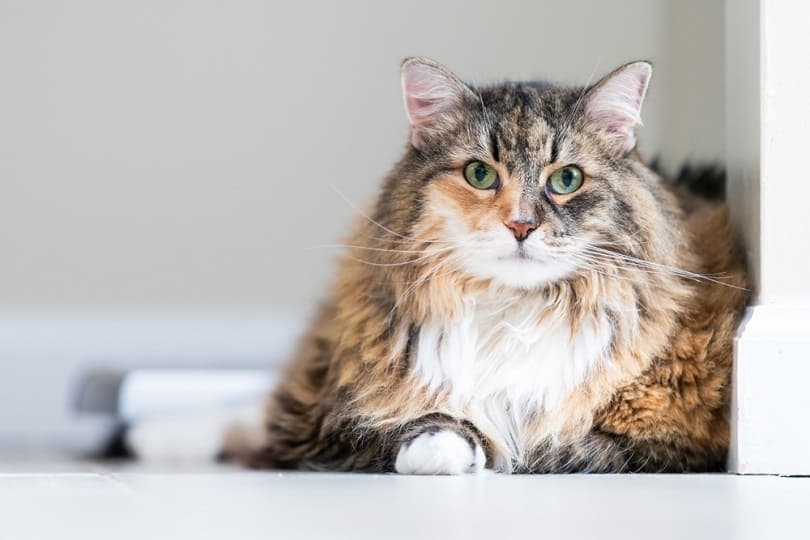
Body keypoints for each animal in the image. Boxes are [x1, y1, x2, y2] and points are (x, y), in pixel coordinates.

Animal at [237, 57, 748, 474]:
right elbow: (402, 425)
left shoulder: (671, 443)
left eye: (567, 179)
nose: (520, 225)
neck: (514, 313)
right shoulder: (310, 421)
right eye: (480, 174)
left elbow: (558, 447)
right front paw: (444, 445)